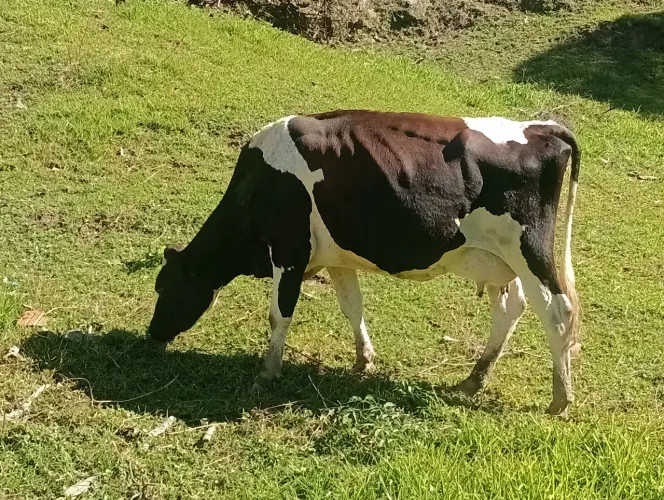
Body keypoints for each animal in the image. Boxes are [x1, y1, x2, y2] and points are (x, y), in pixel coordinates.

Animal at [147, 109, 581, 416]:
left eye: (165, 287)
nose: (152, 334)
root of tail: (542, 127)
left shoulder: (289, 251)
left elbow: (279, 313)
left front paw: (267, 372)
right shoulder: (336, 258)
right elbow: (351, 306)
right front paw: (363, 359)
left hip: (530, 250)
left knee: (557, 312)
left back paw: (560, 398)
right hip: (497, 260)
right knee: (511, 308)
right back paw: (472, 381)